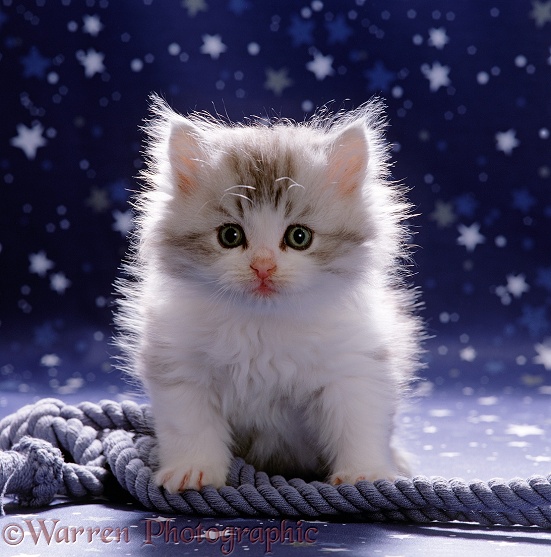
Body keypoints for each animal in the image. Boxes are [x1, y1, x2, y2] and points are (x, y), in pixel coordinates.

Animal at [116, 94, 422, 490]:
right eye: (230, 236)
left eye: (299, 237)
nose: (263, 267)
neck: (263, 324)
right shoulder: (181, 370)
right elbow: (190, 429)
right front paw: (194, 470)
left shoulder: (354, 368)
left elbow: (359, 425)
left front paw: (364, 472)